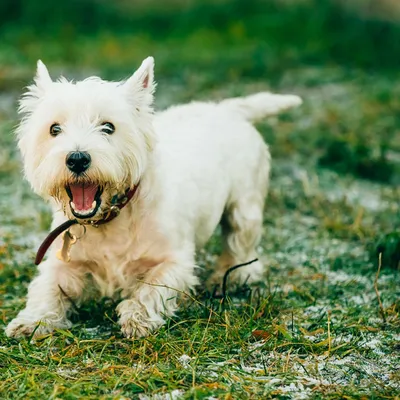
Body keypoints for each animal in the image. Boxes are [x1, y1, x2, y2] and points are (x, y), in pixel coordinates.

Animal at [5, 57, 300, 338]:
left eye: (108, 127)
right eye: (54, 129)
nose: (77, 159)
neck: (111, 218)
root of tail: (226, 109)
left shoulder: (174, 260)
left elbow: (152, 287)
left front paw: (137, 318)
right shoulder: (62, 263)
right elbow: (46, 288)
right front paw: (31, 321)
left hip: (244, 206)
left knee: (241, 244)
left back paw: (229, 277)